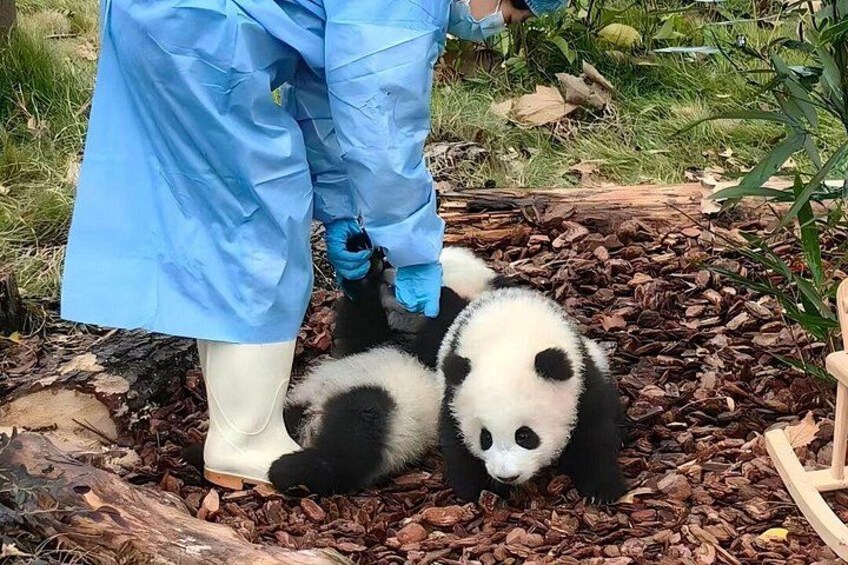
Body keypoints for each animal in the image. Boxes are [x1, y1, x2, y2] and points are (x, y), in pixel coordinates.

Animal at [436, 287, 627, 504]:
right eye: (485, 437)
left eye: (524, 435)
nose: (507, 476)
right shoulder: (452, 396)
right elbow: (456, 444)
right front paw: (481, 490)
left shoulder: (582, 381)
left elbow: (594, 430)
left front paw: (602, 490)